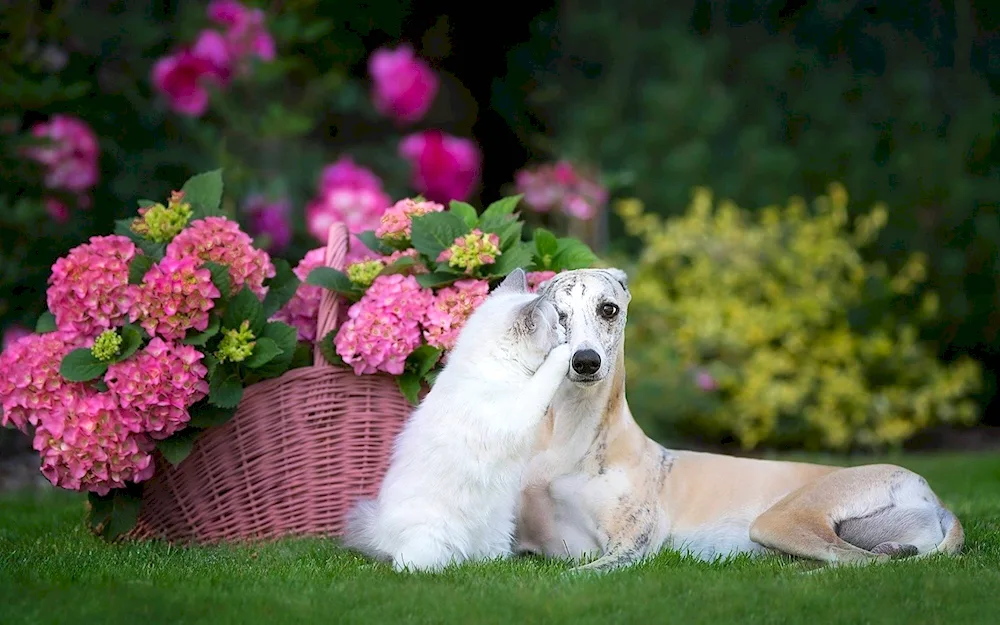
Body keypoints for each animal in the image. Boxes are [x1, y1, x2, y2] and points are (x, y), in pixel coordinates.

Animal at [342, 268, 572, 572]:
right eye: (556, 324)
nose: (565, 332)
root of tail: (379, 534)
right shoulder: (519, 410)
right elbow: (547, 374)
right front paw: (567, 351)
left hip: (498, 531)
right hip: (431, 542)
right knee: (407, 565)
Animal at [516, 268, 960, 572]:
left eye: (608, 309)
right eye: (557, 314)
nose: (585, 362)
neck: (571, 444)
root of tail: (931, 494)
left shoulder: (630, 549)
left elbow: (572, 575)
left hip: (780, 519)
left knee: (856, 561)